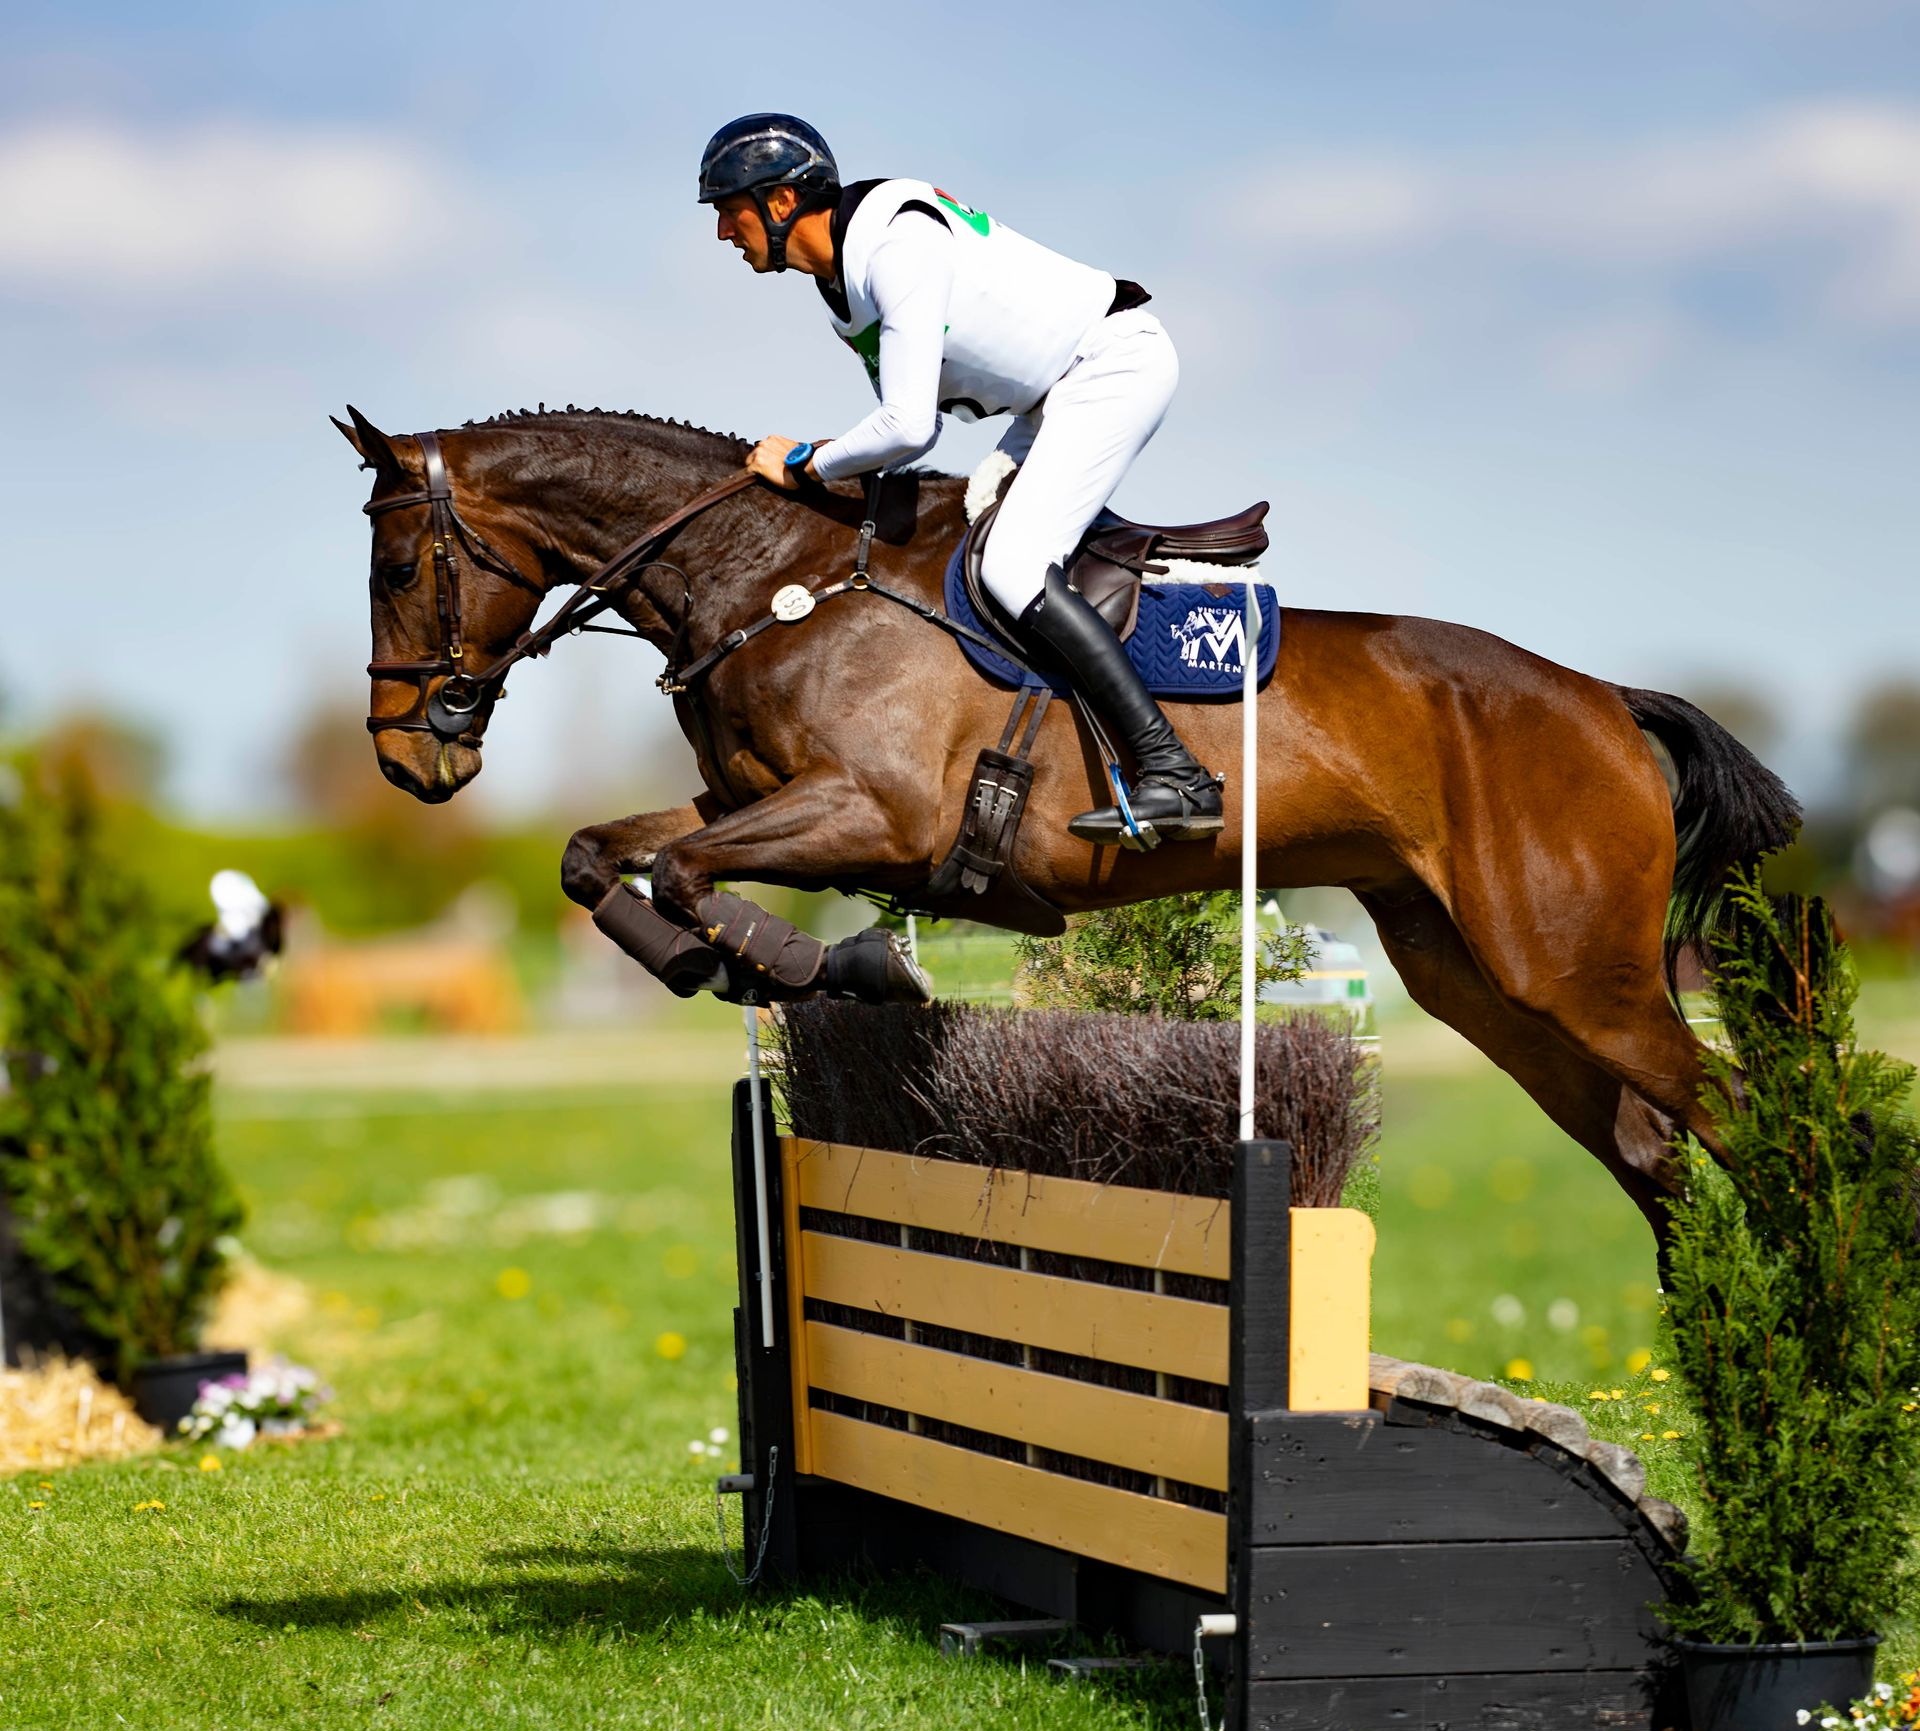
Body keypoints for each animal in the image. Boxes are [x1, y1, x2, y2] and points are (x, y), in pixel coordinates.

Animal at [336, 404, 1799, 1240]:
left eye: (400, 565)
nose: (410, 757)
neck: (775, 579)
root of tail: (1604, 698)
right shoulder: (756, 801)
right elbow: (602, 857)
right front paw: (747, 962)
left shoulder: (866, 814)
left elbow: (692, 875)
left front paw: (820, 961)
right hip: (1480, 980)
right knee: (1652, 1150)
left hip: (1576, 971)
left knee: (1746, 1118)